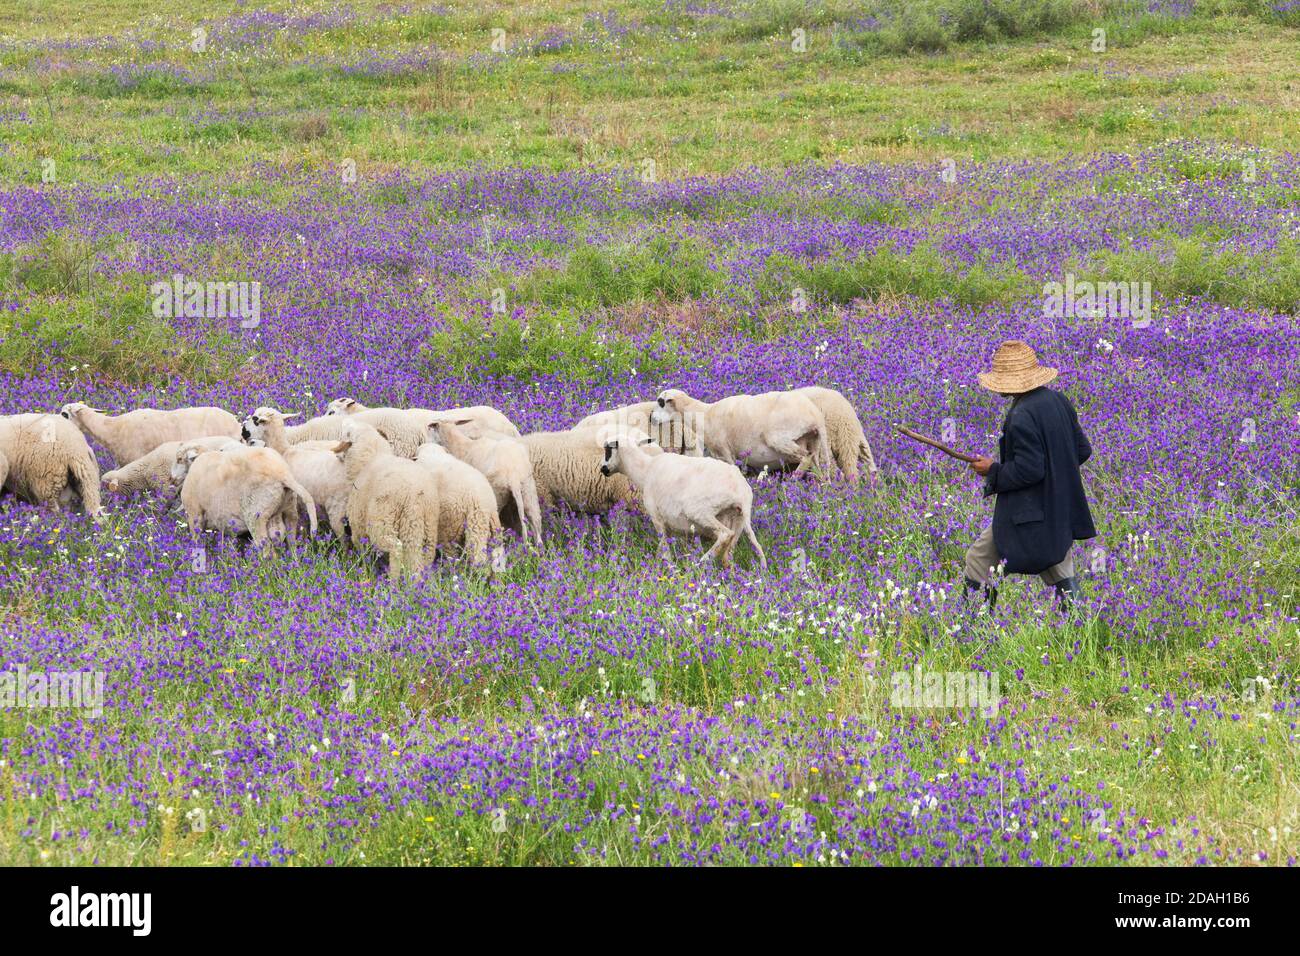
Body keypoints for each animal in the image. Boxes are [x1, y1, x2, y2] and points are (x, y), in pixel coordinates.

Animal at [171, 441, 317, 547]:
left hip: (255, 516)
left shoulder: (194, 514)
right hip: (289, 510)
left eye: (179, 459)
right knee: (291, 542)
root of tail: (282, 474)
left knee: (266, 548)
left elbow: (196, 541)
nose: (171, 478)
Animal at [332, 420, 440, 579]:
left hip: (383, 522)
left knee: (396, 548)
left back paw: (392, 581)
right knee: (422, 561)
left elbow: (364, 554)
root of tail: (414, 497)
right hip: (426, 531)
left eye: (346, 433)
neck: (369, 457)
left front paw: (366, 573)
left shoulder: (358, 529)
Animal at [600, 431, 766, 570]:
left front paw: (668, 567)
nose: (603, 469)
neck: (645, 470)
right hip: (738, 521)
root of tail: (740, 490)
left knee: (725, 534)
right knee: (728, 556)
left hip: (700, 511)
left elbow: (664, 549)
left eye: (608, 450)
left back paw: (701, 562)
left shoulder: (657, 517)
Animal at [650, 388, 831, 478]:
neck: (705, 413)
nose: (651, 418)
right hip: (812, 441)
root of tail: (815, 414)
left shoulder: (725, 450)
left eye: (661, 402)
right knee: (814, 462)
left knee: (806, 457)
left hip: (779, 438)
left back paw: (793, 480)